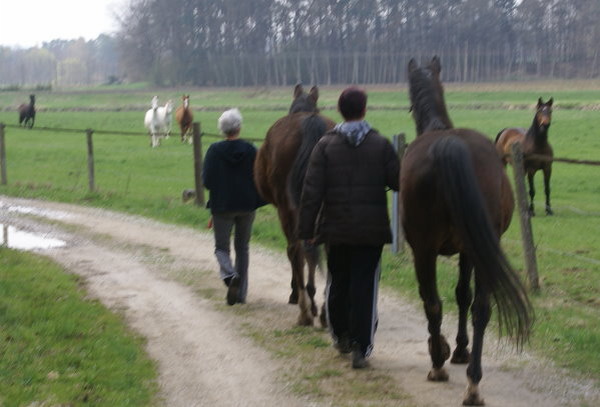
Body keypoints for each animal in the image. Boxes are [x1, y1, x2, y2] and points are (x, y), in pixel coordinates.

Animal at [253, 85, 336, 328]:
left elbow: (296, 253)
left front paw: (297, 294)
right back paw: (324, 312)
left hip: (287, 210)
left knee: (295, 251)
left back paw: (305, 312)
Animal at [400, 55, 532, 406]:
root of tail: (449, 144)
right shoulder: (469, 250)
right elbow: (464, 296)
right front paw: (459, 350)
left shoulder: (440, 251)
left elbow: (450, 296)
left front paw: (450, 350)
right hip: (480, 247)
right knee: (481, 309)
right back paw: (473, 384)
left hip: (426, 249)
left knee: (433, 302)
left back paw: (438, 365)